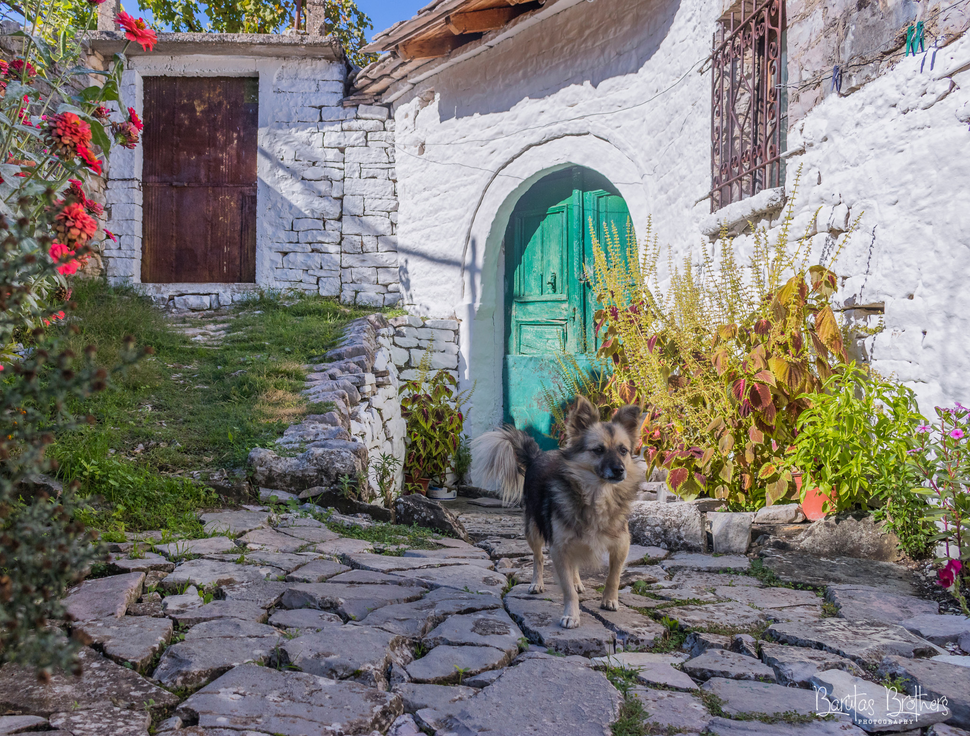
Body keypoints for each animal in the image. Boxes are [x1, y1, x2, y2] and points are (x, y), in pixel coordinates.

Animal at [470, 400, 644, 628]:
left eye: (623, 450)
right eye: (598, 450)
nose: (619, 469)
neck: (598, 495)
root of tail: (538, 455)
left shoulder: (621, 543)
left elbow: (613, 575)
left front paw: (610, 600)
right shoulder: (559, 548)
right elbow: (567, 588)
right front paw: (572, 614)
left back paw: (578, 581)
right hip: (533, 530)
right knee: (538, 558)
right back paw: (537, 583)